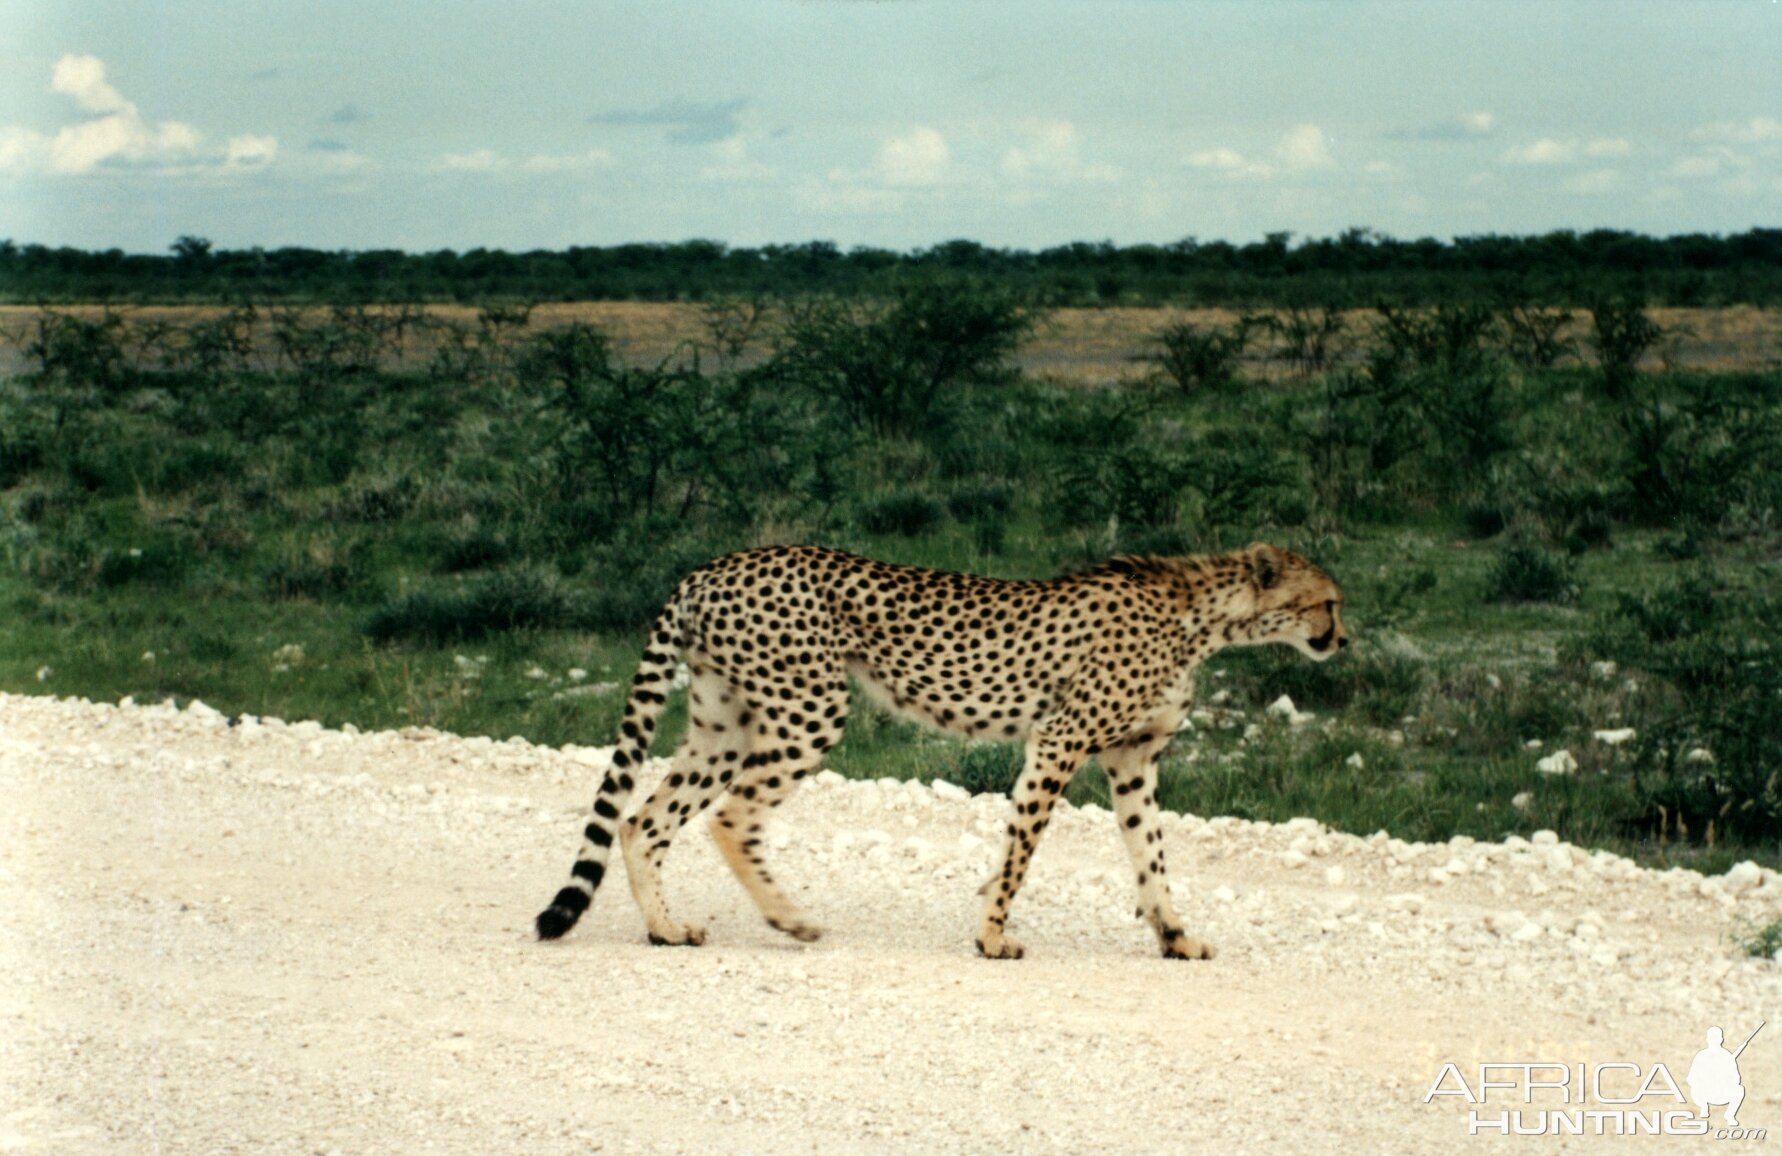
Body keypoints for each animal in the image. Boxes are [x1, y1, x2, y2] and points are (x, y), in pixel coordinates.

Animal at [534, 541, 1340, 954]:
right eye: (1327, 602)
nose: (1341, 638)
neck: (1204, 616)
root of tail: (717, 564)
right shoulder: (1060, 740)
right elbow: (1020, 851)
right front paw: (992, 936)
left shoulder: (1133, 760)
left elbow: (1152, 859)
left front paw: (1175, 937)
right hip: (809, 710)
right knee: (731, 819)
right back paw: (789, 919)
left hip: (724, 724)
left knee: (643, 820)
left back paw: (666, 928)